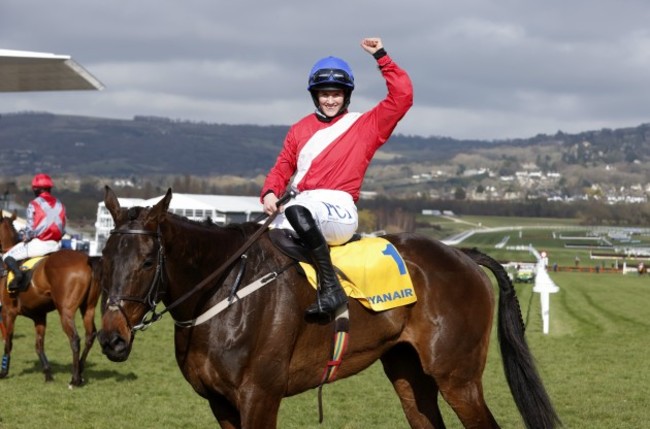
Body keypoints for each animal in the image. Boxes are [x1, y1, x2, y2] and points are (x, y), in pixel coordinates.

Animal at [0, 209, 100, 386]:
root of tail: (87, 260)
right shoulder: (39, 316)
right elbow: (39, 345)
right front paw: (48, 374)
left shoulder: (8, 311)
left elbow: (8, 342)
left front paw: (4, 371)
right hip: (88, 308)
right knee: (90, 335)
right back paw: (80, 371)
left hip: (65, 311)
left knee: (75, 339)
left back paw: (74, 379)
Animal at [96, 187, 556, 428]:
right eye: (105, 257)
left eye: (147, 261)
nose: (112, 339)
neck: (226, 289)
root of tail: (463, 255)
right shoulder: (220, 403)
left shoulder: (260, 397)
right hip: (410, 374)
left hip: (458, 378)